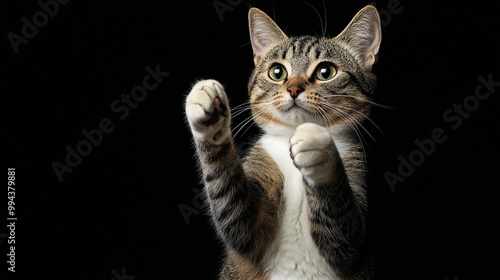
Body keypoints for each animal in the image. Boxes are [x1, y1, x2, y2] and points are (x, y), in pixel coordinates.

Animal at [186, 4, 380, 280]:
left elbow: (342, 228)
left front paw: (320, 152)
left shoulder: (353, 240)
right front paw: (210, 117)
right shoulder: (250, 226)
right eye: (277, 72)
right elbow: (234, 209)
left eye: (326, 72)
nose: (294, 89)